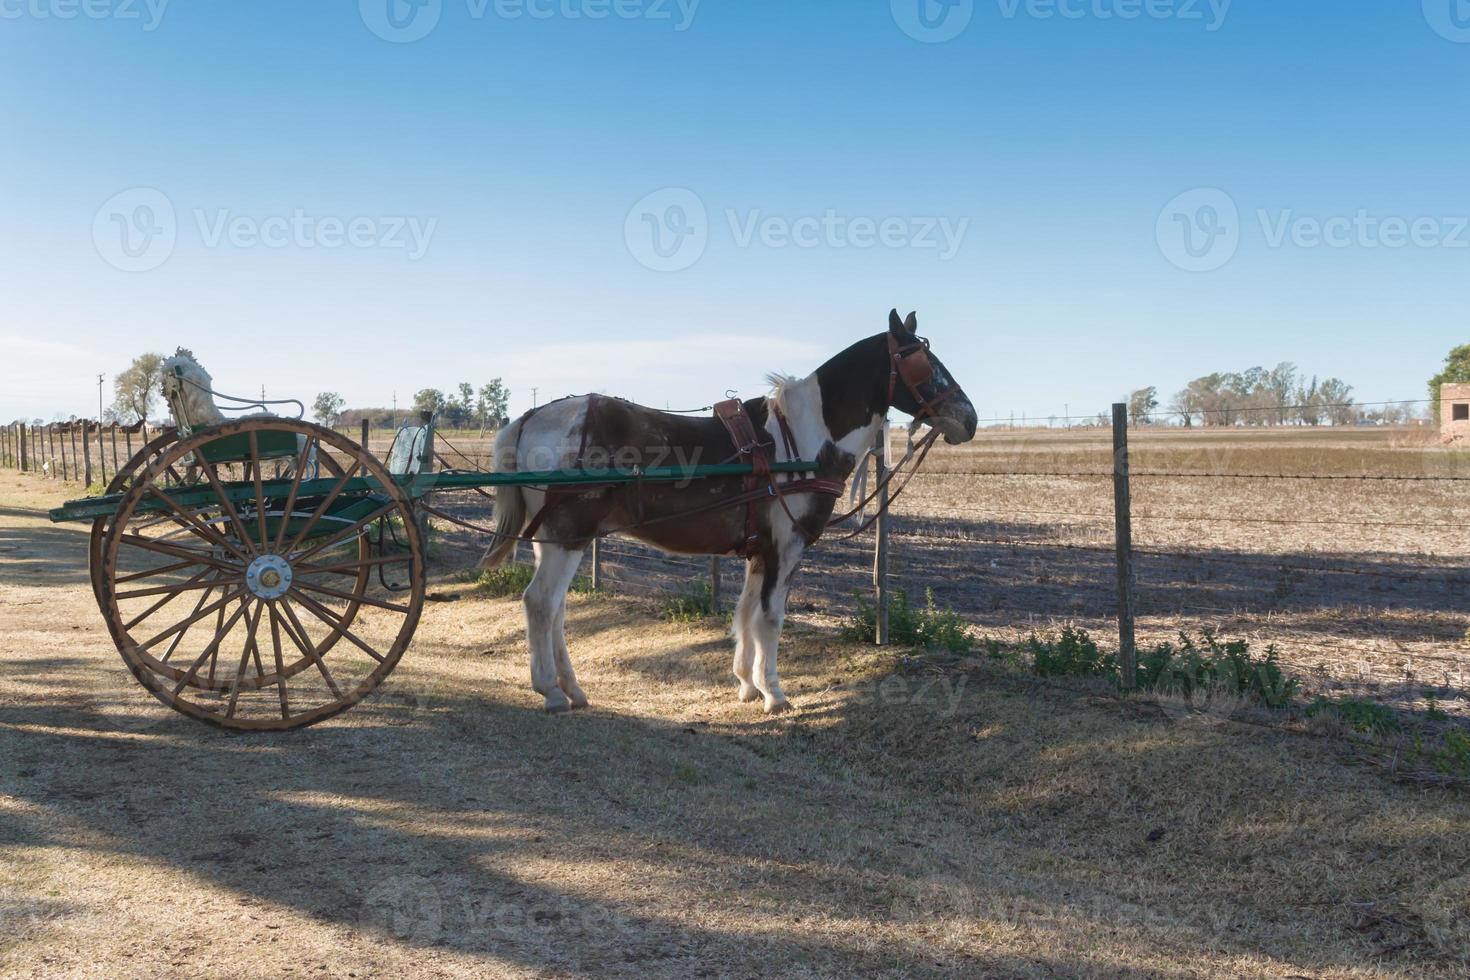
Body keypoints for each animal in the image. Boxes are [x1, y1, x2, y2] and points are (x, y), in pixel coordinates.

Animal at [482, 310, 976, 717]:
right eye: (920, 361)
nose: (968, 418)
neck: (803, 437)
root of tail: (529, 417)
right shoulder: (786, 546)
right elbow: (770, 618)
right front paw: (775, 694)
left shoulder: (760, 550)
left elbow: (745, 613)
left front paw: (748, 684)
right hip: (568, 535)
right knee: (541, 602)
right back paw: (550, 691)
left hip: (556, 539)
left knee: (556, 608)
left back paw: (572, 688)